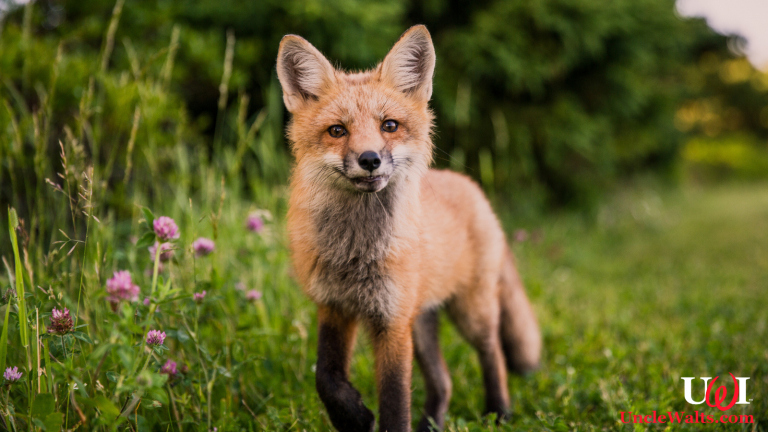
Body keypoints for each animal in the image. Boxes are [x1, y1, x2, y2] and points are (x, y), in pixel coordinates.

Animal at [276, 25, 542, 432]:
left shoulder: (392, 320)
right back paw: (432, 422)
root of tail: (471, 186)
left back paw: (499, 412)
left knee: (493, 352)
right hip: (422, 322)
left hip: (471, 312)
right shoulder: (335, 306)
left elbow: (395, 399)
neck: (356, 253)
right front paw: (353, 417)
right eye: (337, 131)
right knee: (444, 381)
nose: (369, 159)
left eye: (389, 126)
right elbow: (326, 377)